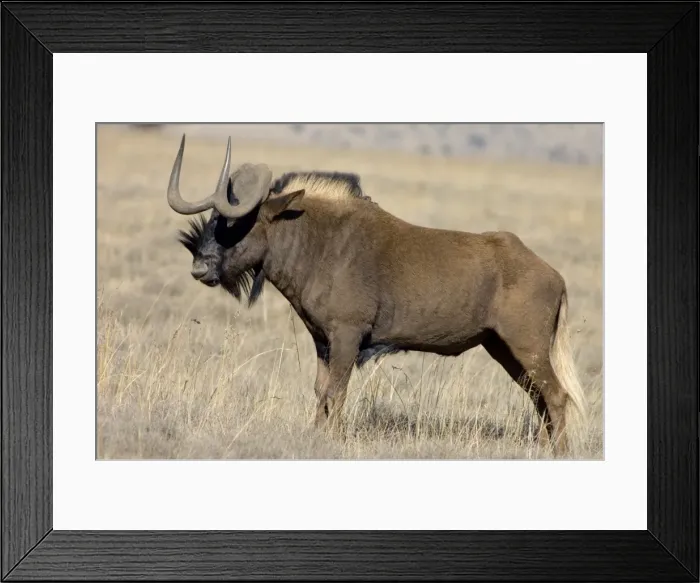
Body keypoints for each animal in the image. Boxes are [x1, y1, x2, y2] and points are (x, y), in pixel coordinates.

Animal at [167, 134, 588, 456]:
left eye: (237, 222)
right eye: (213, 220)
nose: (200, 268)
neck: (318, 242)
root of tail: (552, 274)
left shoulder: (347, 337)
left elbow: (335, 393)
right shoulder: (323, 341)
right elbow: (320, 392)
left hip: (527, 348)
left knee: (556, 396)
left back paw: (559, 453)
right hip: (503, 349)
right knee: (539, 398)